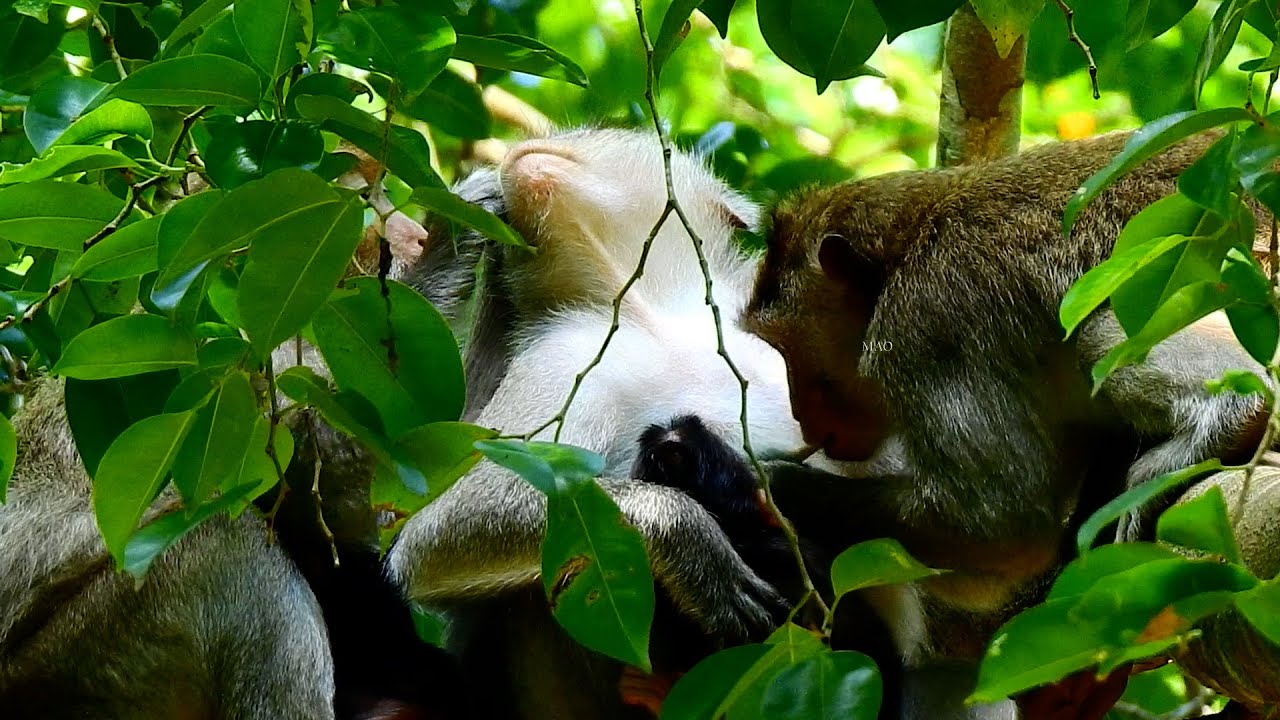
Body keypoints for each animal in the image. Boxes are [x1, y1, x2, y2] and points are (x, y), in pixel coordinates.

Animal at [742, 130, 1270, 714]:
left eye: (792, 354)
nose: (805, 422)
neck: (905, 252)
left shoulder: (930, 325)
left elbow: (998, 520)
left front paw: (778, 486)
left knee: (1101, 336)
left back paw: (1235, 420)